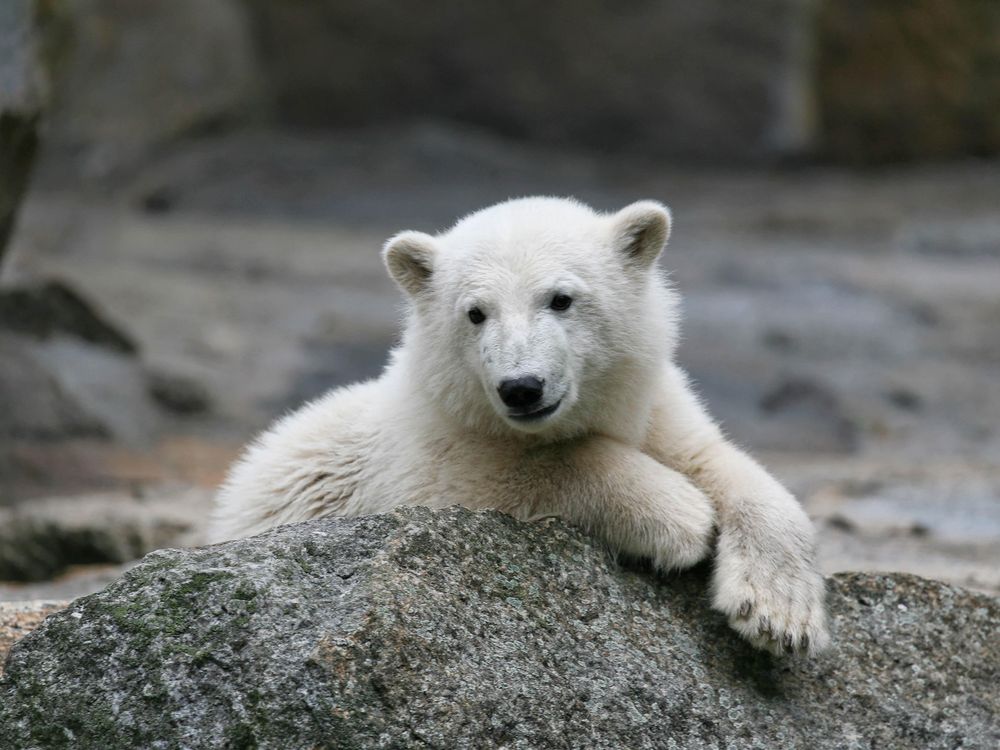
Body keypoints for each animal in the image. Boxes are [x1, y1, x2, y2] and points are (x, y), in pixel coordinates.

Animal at [215, 198, 832, 656]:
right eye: (475, 313)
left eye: (561, 299)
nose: (522, 387)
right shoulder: (423, 459)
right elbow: (514, 472)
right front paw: (679, 517)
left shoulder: (657, 409)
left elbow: (720, 462)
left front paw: (778, 613)